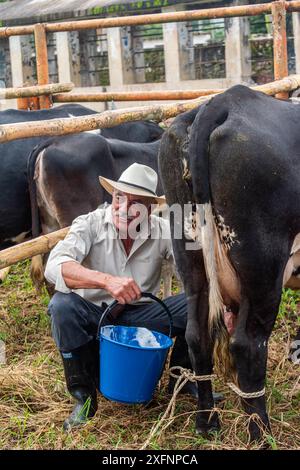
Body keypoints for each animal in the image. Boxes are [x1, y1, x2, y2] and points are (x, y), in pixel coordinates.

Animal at [159, 86, 300, 442]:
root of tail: (225, 100)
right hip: (263, 270)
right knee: (247, 344)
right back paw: (261, 434)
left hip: (191, 261)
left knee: (198, 337)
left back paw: (206, 423)